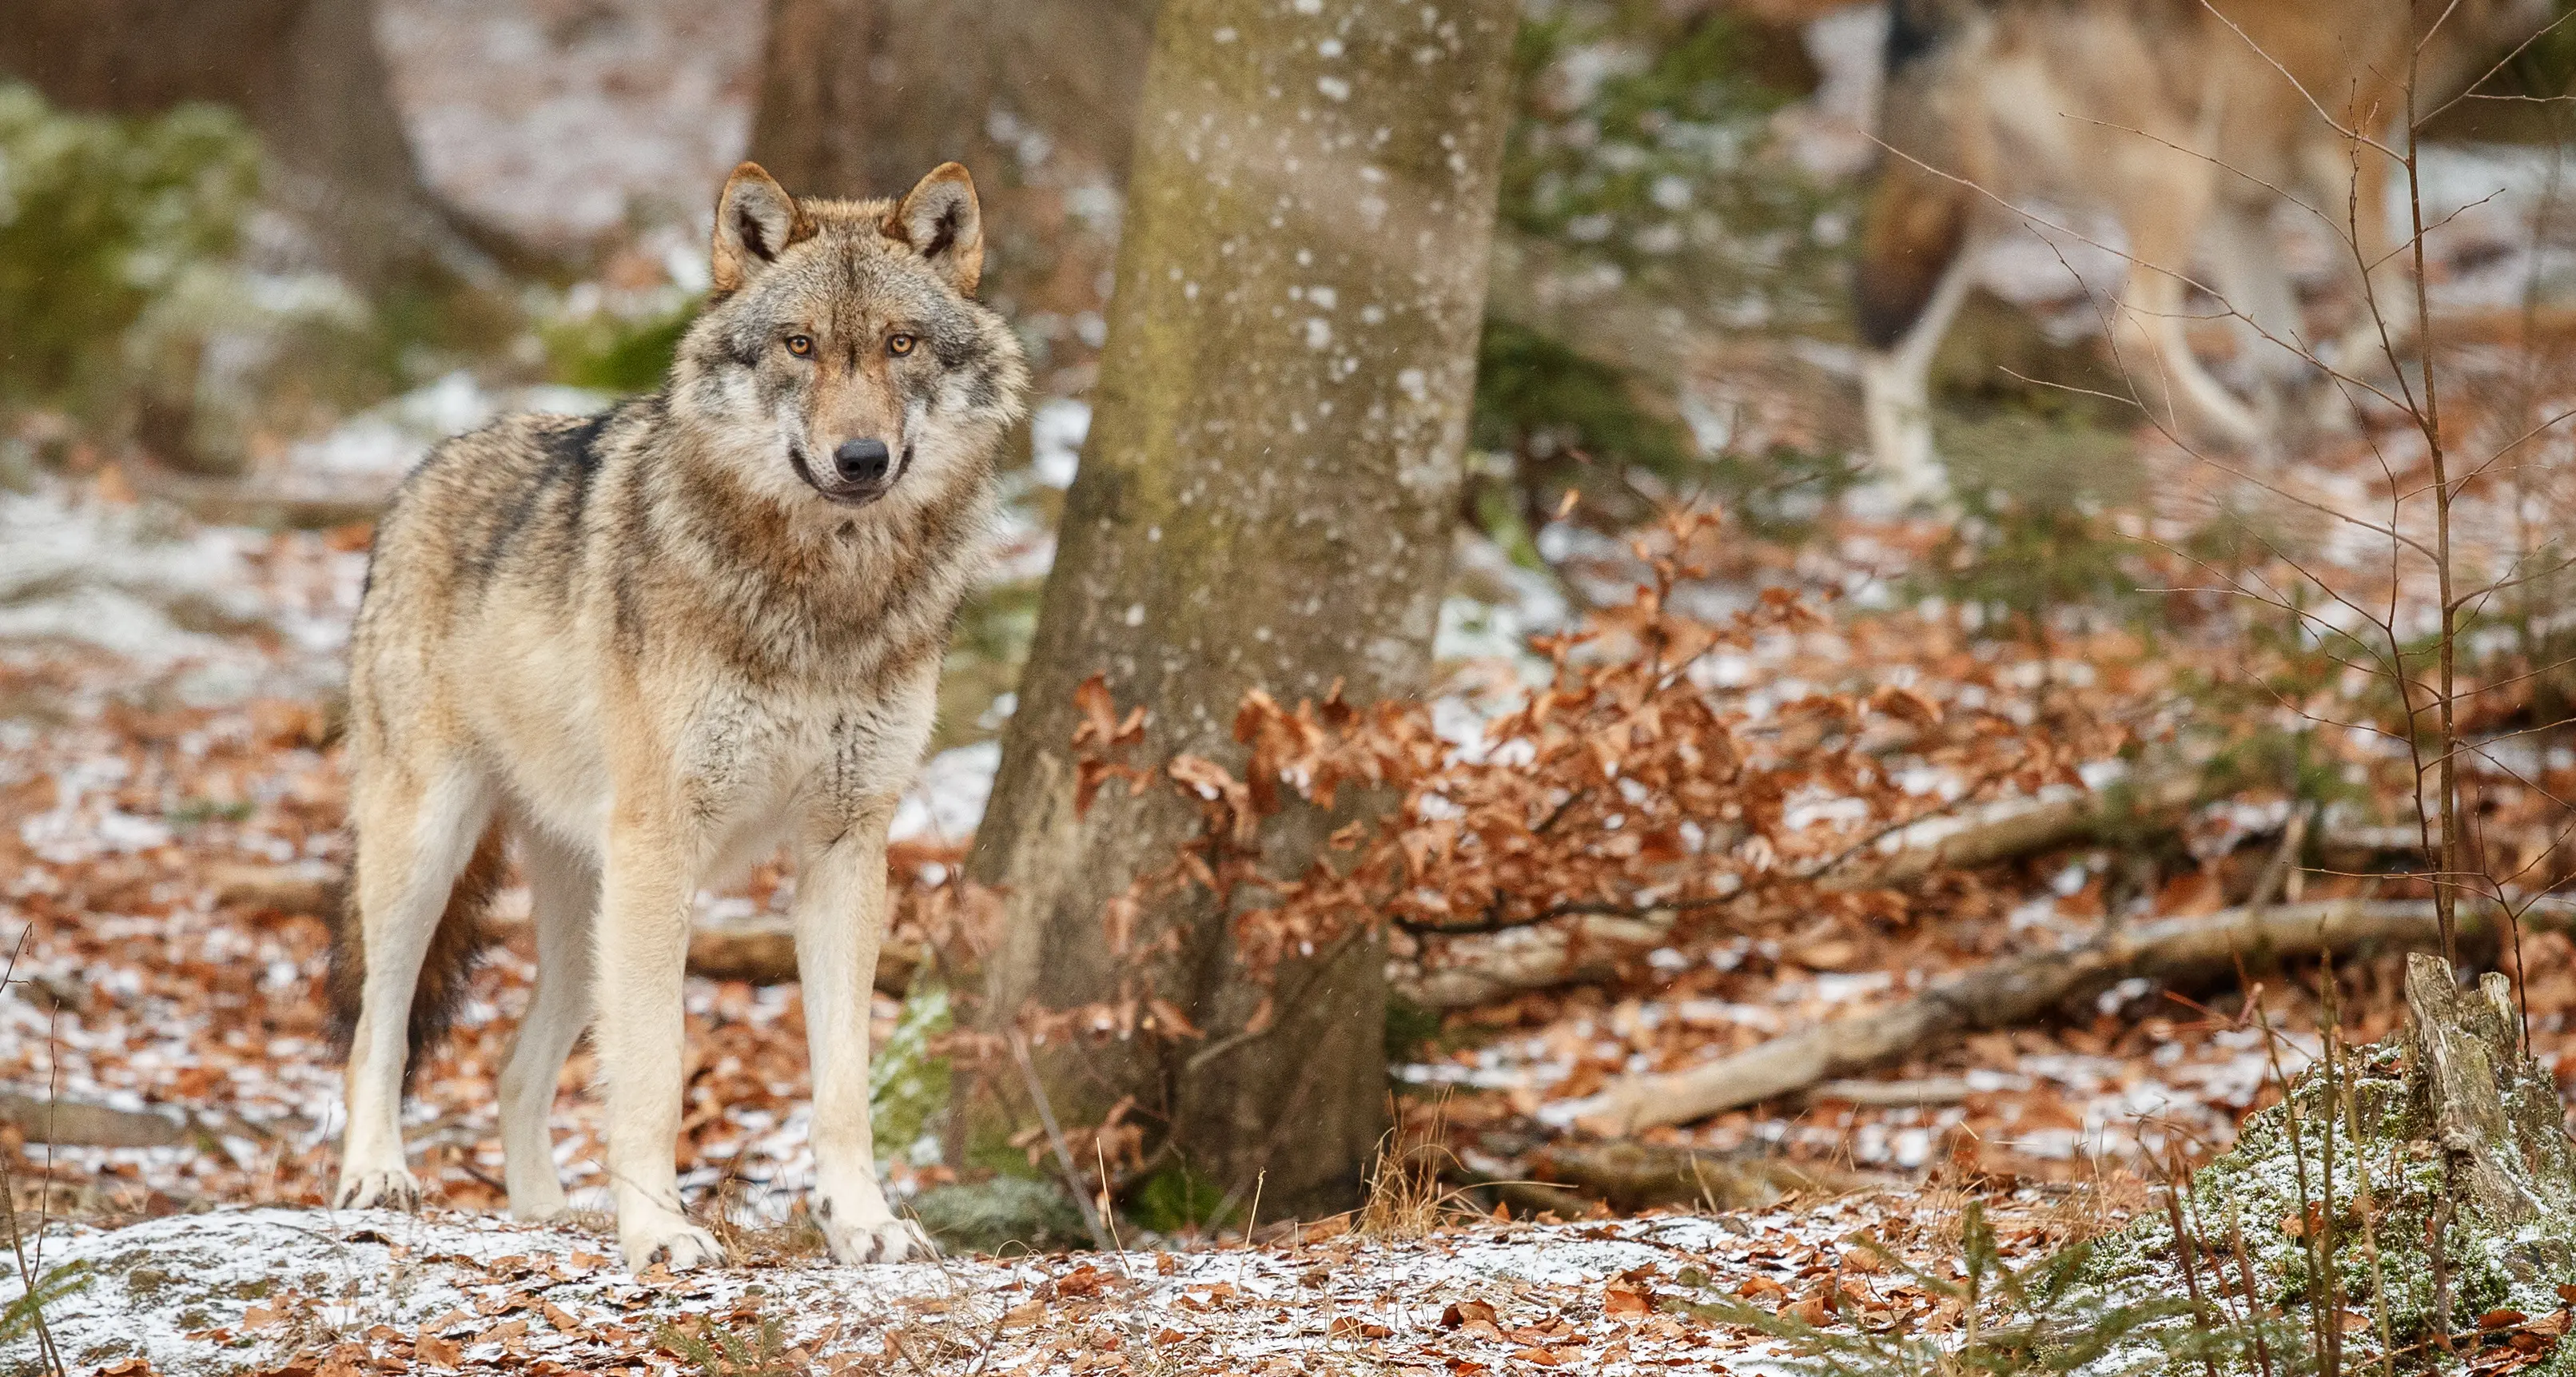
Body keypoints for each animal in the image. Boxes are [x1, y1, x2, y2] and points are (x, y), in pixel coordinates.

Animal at [326, 160, 1028, 1272]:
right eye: (799, 346)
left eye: (900, 345)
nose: (861, 458)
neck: (821, 600)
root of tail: (426, 468)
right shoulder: (665, 846)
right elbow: (657, 1067)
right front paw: (659, 1231)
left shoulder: (848, 846)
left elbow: (843, 1082)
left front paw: (862, 1220)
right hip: (433, 855)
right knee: (377, 1031)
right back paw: (377, 1177)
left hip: (588, 918)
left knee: (513, 1071)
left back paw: (548, 1214)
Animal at [1853, 0, 2551, 500]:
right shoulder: (2351, 149)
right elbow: (2394, 312)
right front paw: (2318, 415)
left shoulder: (2240, 204)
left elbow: (2279, 346)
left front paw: (2300, 427)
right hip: (2171, 173)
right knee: (2136, 331)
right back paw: (2233, 433)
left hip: (1974, 209)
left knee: (1884, 344)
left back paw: (1919, 498)